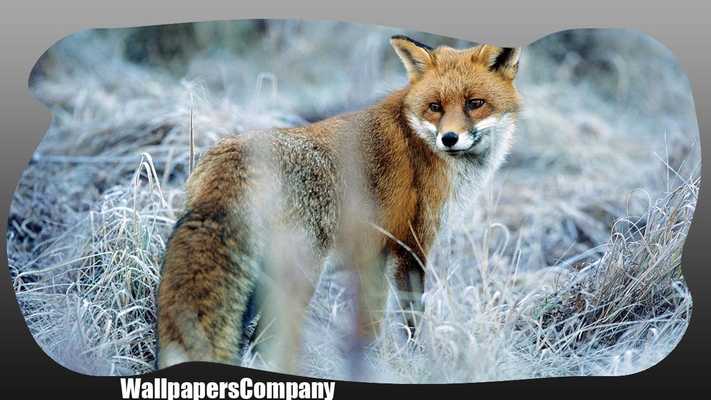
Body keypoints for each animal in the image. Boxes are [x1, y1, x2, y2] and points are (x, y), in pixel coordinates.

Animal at [157, 35, 521, 372]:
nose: (449, 138)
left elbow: (371, 323)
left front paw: (371, 366)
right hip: (299, 276)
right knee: (266, 340)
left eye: (475, 103)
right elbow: (412, 320)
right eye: (435, 107)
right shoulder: (411, 246)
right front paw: (421, 363)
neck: (420, 141)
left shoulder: (375, 255)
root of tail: (231, 156)